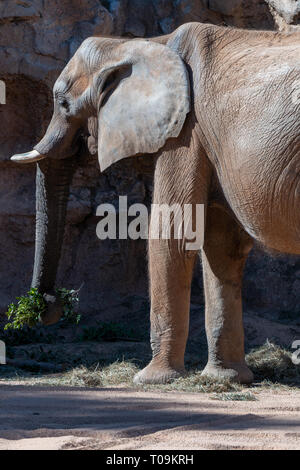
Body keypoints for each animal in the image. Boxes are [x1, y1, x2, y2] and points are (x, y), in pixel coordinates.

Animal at [10, 21, 300, 386]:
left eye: (62, 103)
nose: (49, 305)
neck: (141, 45)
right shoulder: (204, 136)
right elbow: (221, 243)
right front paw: (224, 379)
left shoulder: (185, 129)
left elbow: (171, 232)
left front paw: (150, 380)